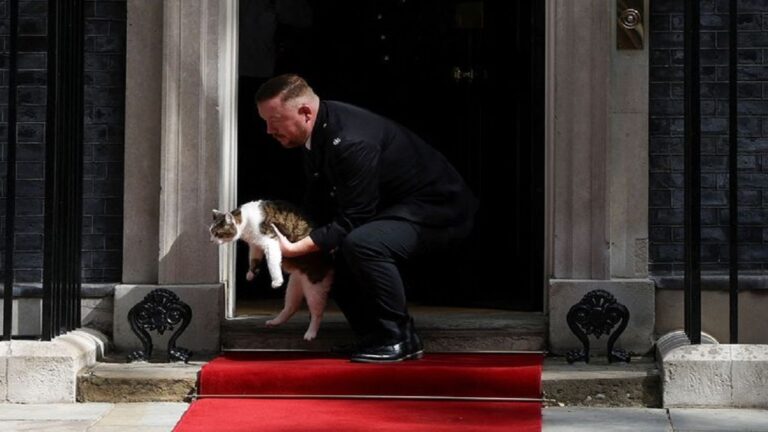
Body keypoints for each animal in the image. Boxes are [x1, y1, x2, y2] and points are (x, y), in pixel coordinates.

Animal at [210, 200, 332, 340]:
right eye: (210, 232)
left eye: (217, 233)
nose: (211, 241)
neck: (245, 222)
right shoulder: (255, 245)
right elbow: (253, 258)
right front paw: (251, 273)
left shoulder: (271, 242)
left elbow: (272, 263)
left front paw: (276, 281)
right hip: (294, 286)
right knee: (291, 307)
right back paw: (275, 322)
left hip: (314, 287)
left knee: (317, 313)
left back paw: (310, 333)